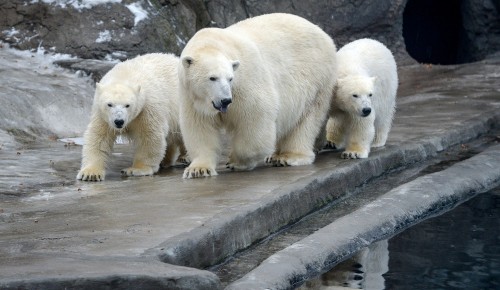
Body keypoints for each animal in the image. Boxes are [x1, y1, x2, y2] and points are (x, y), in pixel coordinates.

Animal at [77, 53, 187, 181]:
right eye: (109, 104)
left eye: (127, 105)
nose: (119, 121)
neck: (125, 75)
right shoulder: (103, 115)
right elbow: (99, 137)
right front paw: (90, 173)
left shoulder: (147, 107)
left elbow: (149, 136)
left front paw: (135, 169)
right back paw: (166, 161)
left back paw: (185, 157)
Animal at [178, 13, 338, 179]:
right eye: (212, 78)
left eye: (230, 78)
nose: (225, 101)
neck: (214, 43)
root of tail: (324, 34)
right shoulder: (192, 97)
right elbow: (200, 128)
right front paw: (198, 170)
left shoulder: (245, 82)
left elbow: (256, 116)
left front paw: (236, 161)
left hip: (316, 78)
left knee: (306, 117)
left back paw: (288, 156)